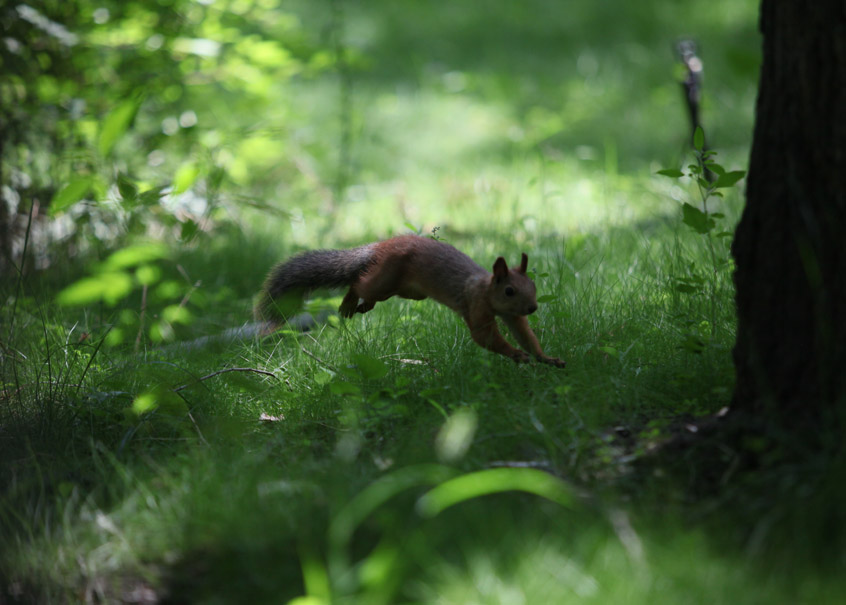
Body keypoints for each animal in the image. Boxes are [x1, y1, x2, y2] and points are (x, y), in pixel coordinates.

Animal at [255, 234, 568, 366]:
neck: (485, 289)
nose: (533, 307)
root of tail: (382, 244)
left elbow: (525, 334)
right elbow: (484, 337)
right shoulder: (477, 307)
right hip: (386, 276)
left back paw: (363, 307)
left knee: (375, 294)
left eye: (533, 286)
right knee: (360, 282)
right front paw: (516, 354)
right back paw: (349, 303)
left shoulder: (513, 316)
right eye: (509, 291)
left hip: (409, 290)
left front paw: (545, 357)